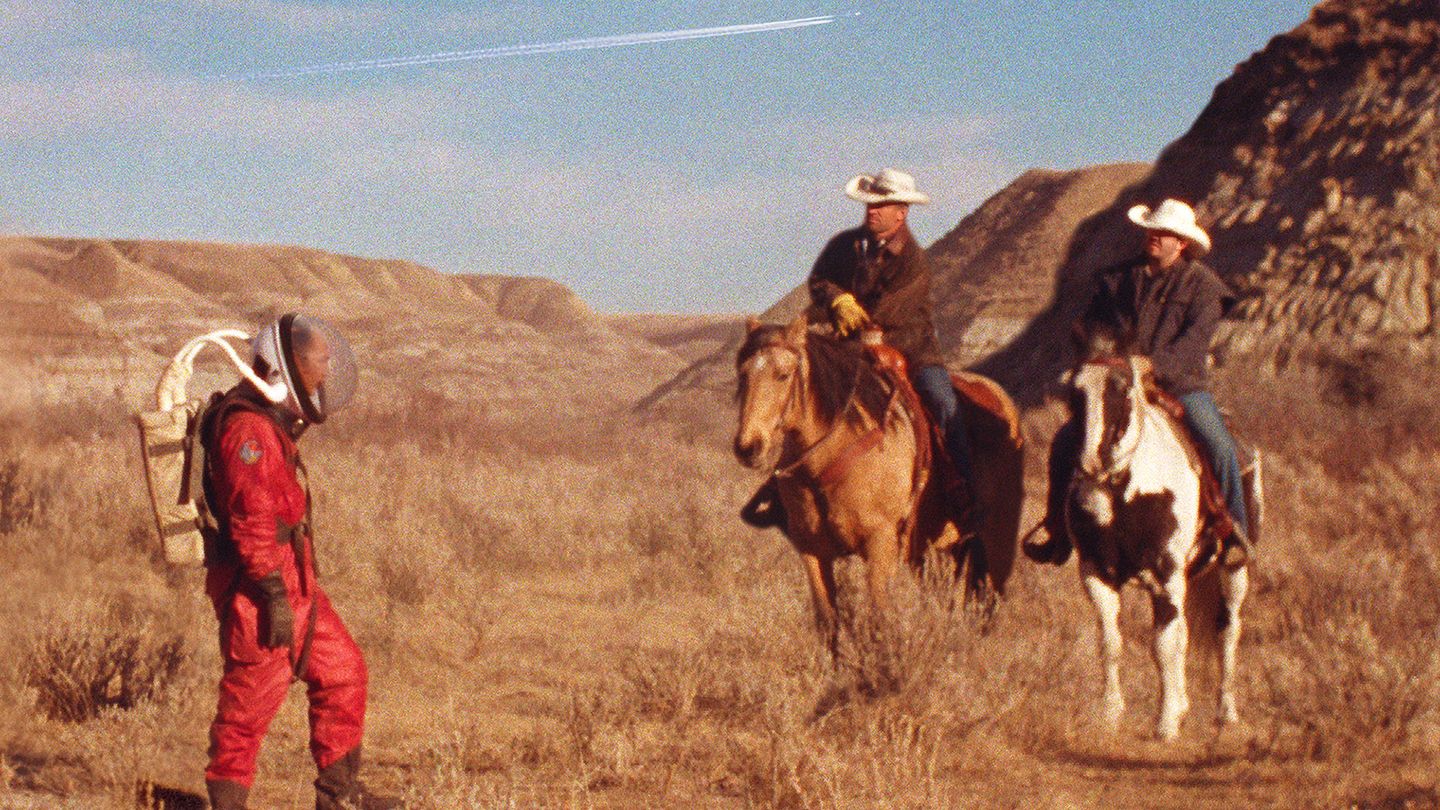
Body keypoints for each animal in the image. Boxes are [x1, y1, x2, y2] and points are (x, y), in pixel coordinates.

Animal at [731, 315, 1025, 637]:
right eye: (743, 375)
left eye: (783, 375)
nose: (748, 447)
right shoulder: (812, 551)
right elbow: (829, 625)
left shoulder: (880, 544)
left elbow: (879, 619)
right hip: (938, 551)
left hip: (997, 539)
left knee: (989, 600)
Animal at [1059, 328, 1261, 737]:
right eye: (1074, 392)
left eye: (1121, 388)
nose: (1089, 462)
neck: (1123, 490)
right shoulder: (1095, 573)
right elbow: (1111, 642)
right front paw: (1111, 712)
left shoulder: (1168, 574)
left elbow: (1164, 646)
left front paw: (1166, 723)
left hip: (1233, 571)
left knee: (1227, 632)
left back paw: (1226, 711)